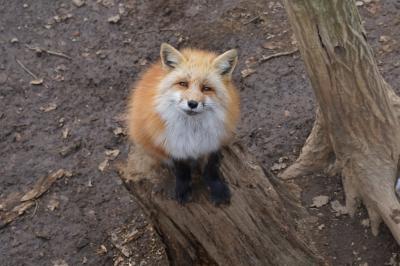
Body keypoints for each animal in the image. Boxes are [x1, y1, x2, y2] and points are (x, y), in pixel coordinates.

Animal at [128, 43, 239, 205]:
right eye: (183, 84)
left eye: (206, 88)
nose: (192, 103)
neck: (192, 131)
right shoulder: (172, 144)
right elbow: (181, 171)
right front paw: (182, 189)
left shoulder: (213, 142)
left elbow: (211, 169)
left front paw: (217, 189)